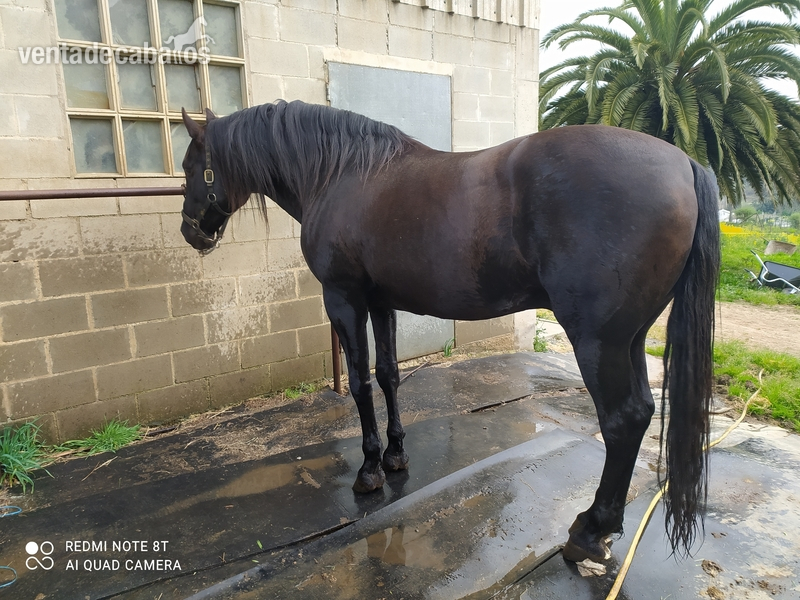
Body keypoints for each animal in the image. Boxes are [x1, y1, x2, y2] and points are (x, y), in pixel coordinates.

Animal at [179, 100, 719, 563]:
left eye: (189, 167)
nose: (190, 232)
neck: (339, 175)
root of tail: (685, 165)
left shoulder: (344, 299)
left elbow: (359, 383)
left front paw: (369, 470)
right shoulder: (381, 303)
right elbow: (388, 375)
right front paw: (396, 456)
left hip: (598, 343)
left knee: (622, 421)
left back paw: (588, 532)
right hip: (631, 339)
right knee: (643, 412)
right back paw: (606, 528)